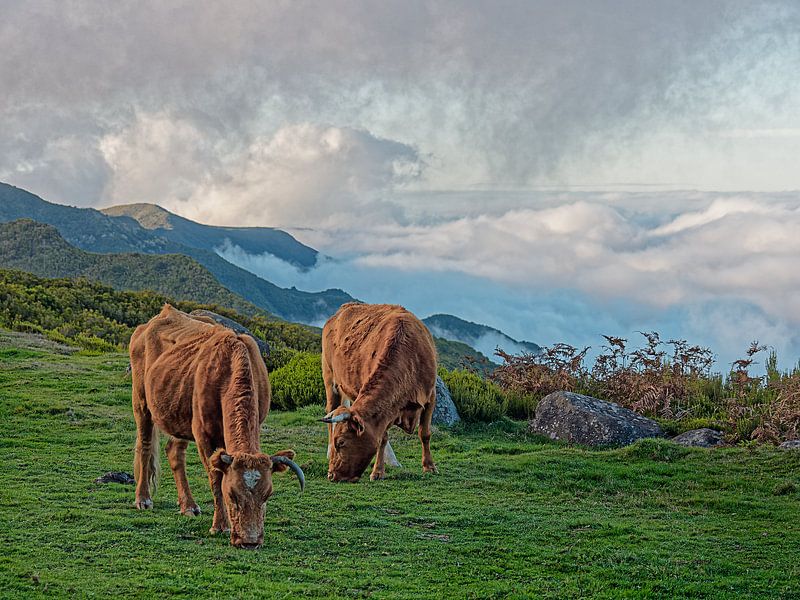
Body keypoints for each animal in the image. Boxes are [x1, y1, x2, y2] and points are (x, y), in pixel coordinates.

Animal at [129, 304, 304, 549]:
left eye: (267, 495)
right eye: (232, 494)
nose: (250, 541)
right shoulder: (203, 435)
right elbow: (215, 478)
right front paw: (220, 526)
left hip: (179, 412)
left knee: (174, 453)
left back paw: (189, 506)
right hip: (141, 401)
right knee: (144, 446)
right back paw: (143, 499)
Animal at [321, 303, 438, 482]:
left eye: (341, 443)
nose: (331, 475)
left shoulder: (430, 396)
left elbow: (424, 433)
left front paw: (429, 466)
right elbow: (382, 437)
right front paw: (378, 471)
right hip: (330, 379)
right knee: (331, 409)